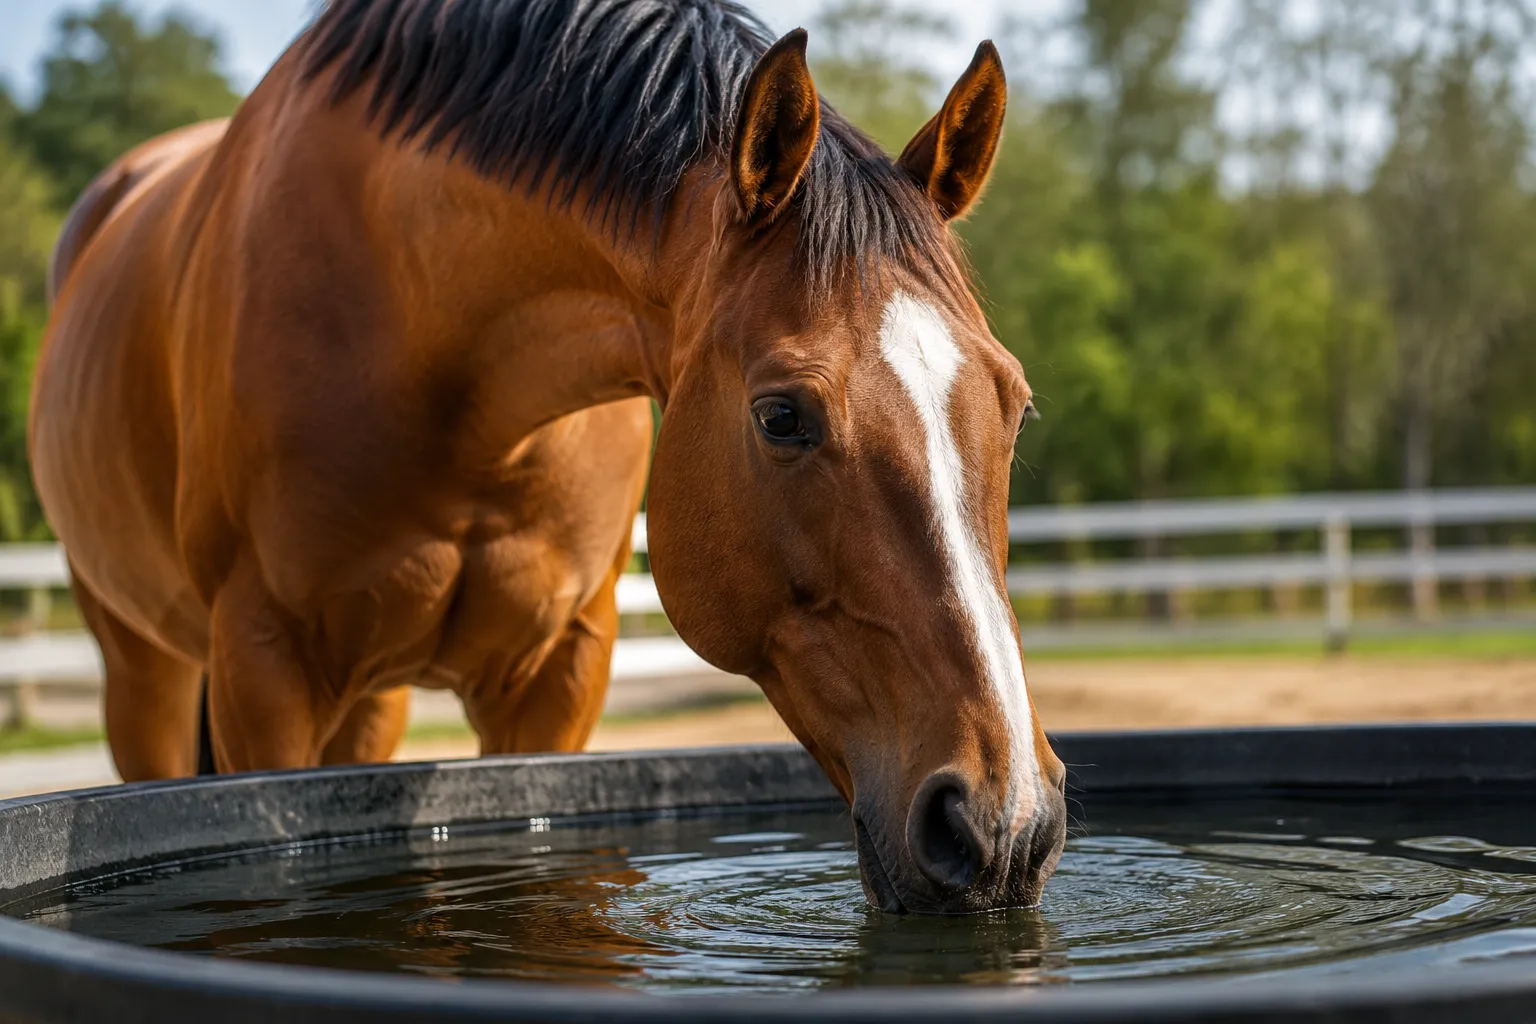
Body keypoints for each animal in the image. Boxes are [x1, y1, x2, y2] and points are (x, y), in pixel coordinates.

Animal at [30, 0, 1066, 914]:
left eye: (1014, 405)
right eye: (782, 417)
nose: (1004, 824)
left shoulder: (561, 674)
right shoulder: (263, 669)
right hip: (145, 673)